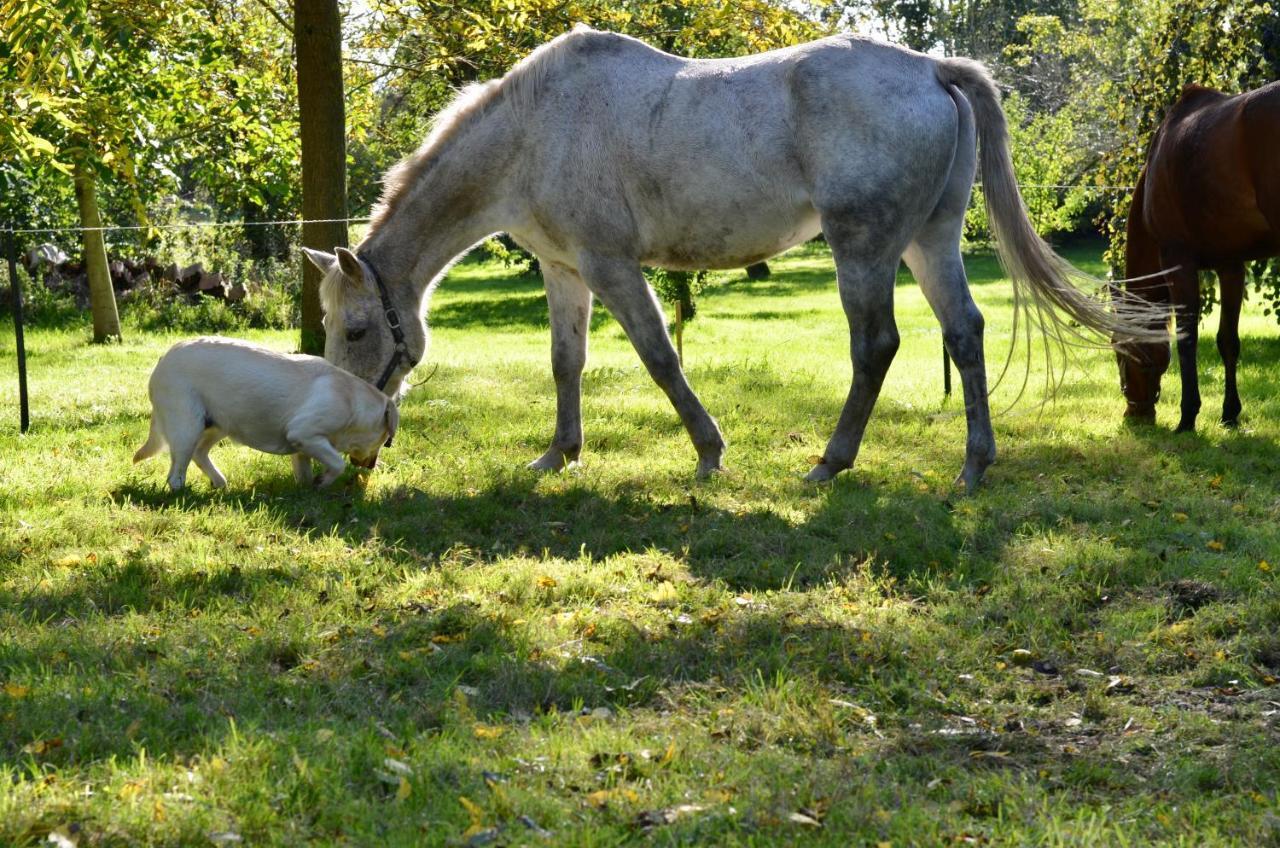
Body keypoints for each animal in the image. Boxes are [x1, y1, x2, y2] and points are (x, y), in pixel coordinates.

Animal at [304, 26, 1167, 491]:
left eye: (355, 331)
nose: (353, 450)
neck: (535, 127)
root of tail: (930, 67)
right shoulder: (566, 271)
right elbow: (565, 364)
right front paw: (558, 454)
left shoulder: (612, 266)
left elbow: (659, 357)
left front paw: (709, 453)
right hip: (929, 242)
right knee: (965, 332)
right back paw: (973, 466)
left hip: (863, 250)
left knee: (876, 346)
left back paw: (831, 463)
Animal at [1116, 81, 1274, 432]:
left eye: (1120, 352)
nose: (1135, 414)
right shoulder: (1230, 266)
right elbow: (1228, 340)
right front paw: (1230, 413)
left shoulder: (1179, 262)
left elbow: (1187, 338)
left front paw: (1187, 416)